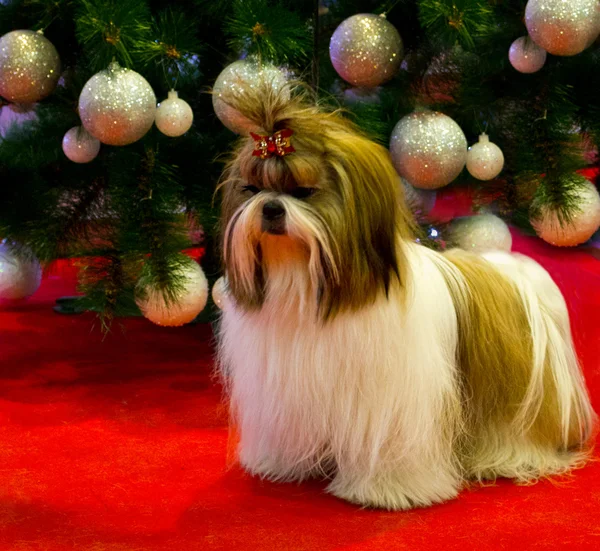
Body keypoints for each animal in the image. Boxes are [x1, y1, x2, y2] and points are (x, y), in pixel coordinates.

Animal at [216, 80, 596, 512]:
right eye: (251, 189)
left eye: (305, 191)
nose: (270, 208)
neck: (307, 286)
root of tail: (516, 273)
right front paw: (282, 463)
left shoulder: (389, 403)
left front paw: (388, 489)